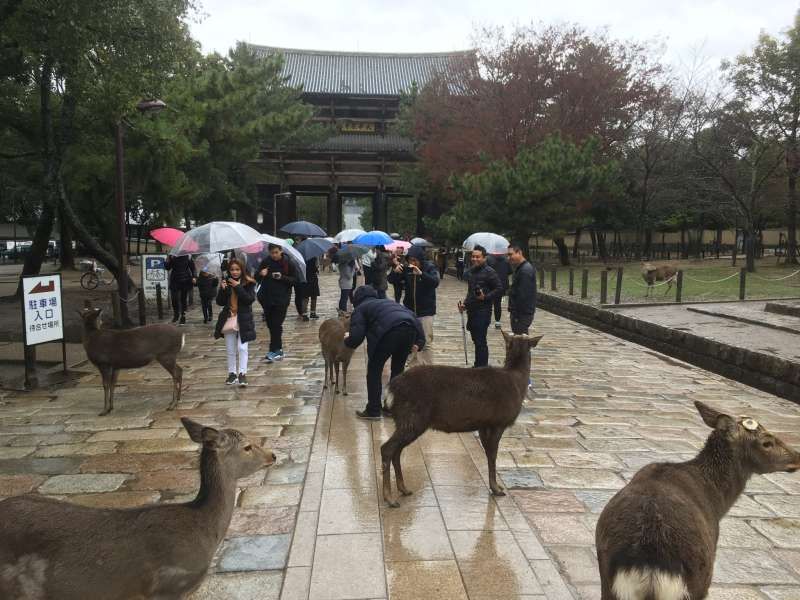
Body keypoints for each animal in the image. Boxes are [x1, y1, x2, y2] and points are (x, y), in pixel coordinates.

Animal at [382, 330, 544, 508]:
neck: (516, 382)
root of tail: (390, 390)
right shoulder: (497, 422)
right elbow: (493, 455)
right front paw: (497, 489)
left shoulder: (484, 424)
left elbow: (488, 454)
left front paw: (495, 486)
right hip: (412, 419)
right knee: (387, 448)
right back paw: (390, 499)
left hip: (405, 421)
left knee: (396, 450)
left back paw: (403, 489)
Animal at [596, 398, 796, 600]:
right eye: (767, 442)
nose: (798, 456)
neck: (719, 502)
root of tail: (649, 565)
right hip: (699, 581)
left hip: (608, 583)